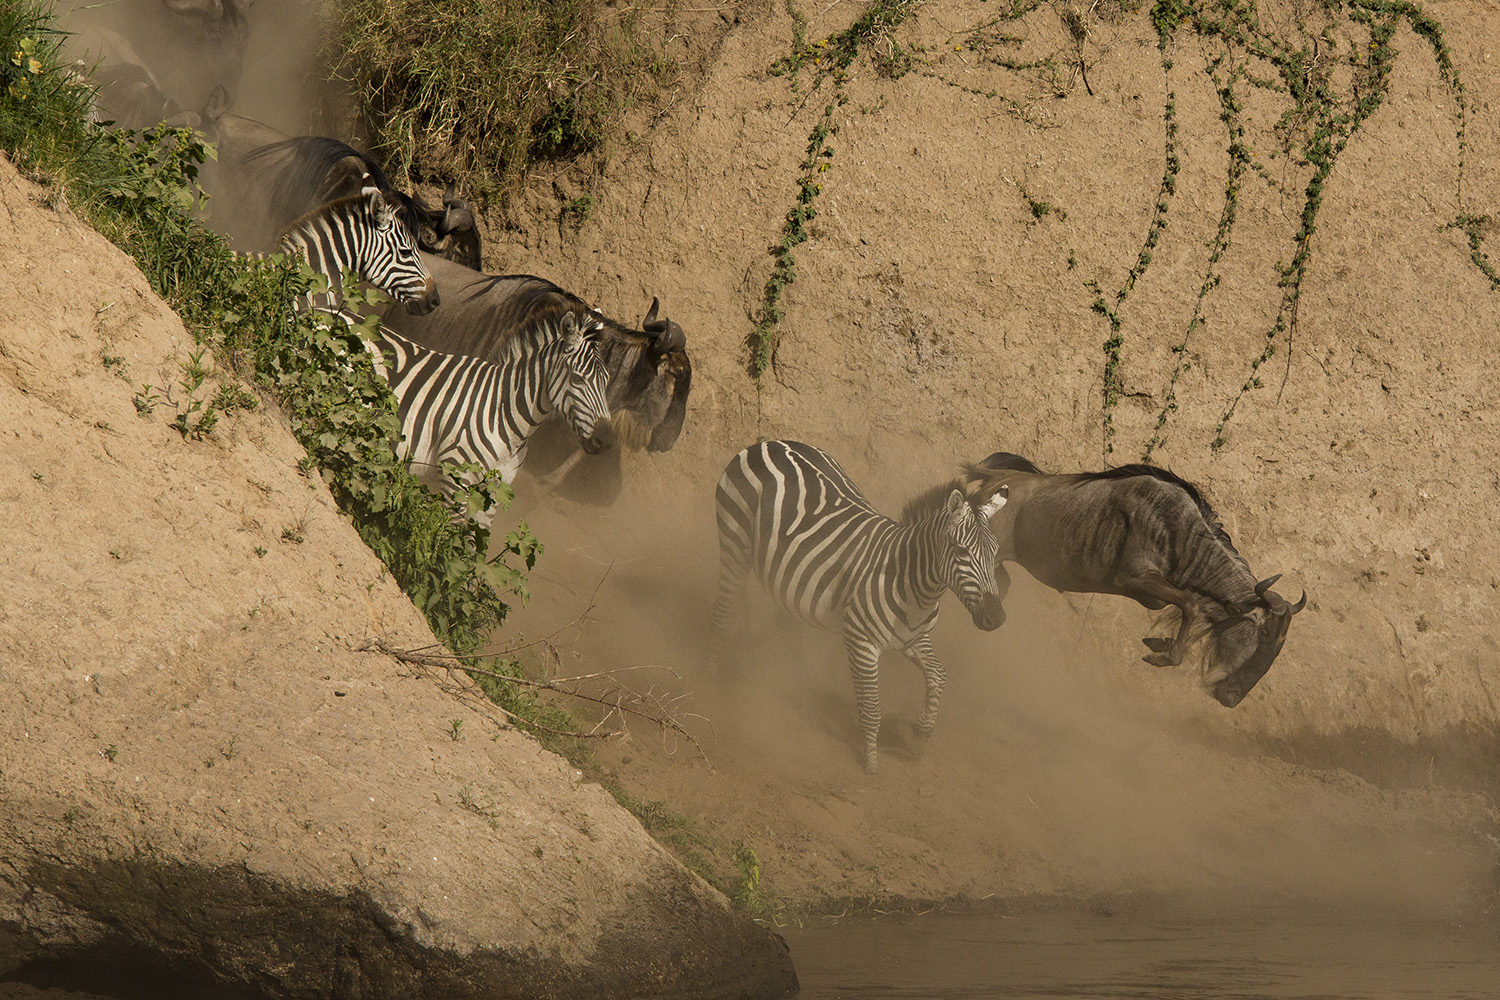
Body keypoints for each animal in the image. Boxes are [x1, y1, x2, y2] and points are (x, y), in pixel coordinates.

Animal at [381, 310, 615, 524]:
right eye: (577, 379)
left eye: (606, 380)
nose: (605, 441)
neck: (506, 416)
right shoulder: (456, 478)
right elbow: (448, 534)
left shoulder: (496, 490)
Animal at [711, 440, 1008, 779]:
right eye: (961, 552)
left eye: (995, 552)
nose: (996, 618)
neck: (914, 585)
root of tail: (769, 443)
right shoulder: (862, 644)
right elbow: (872, 708)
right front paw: (871, 763)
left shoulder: (913, 639)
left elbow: (939, 676)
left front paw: (919, 736)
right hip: (735, 540)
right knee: (722, 613)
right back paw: (711, 678)